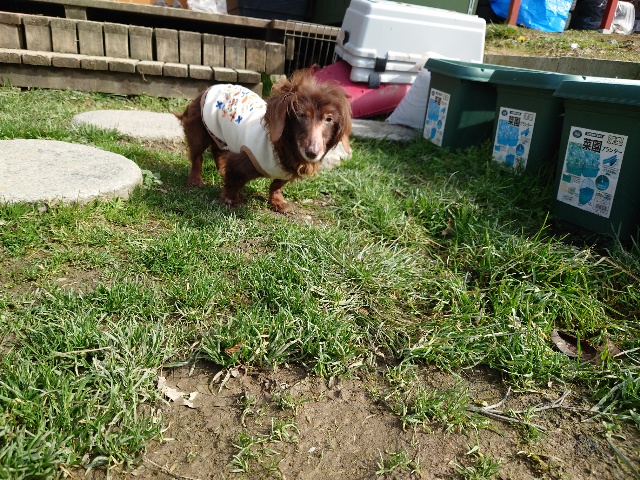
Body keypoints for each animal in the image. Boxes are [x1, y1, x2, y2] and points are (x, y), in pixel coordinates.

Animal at [175, 69, 352, 212]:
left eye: (329, 119)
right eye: (302, 115)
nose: (312, 153)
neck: (281, 147)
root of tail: (211, 88)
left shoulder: (285, 172)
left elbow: (276, 185)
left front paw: (278, 202)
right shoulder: (243, 160)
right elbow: (234, 180)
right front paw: (231, 199)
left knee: (217, 150)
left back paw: (221, 169)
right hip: (199, 131)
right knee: (197, 156)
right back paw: (195, 180)